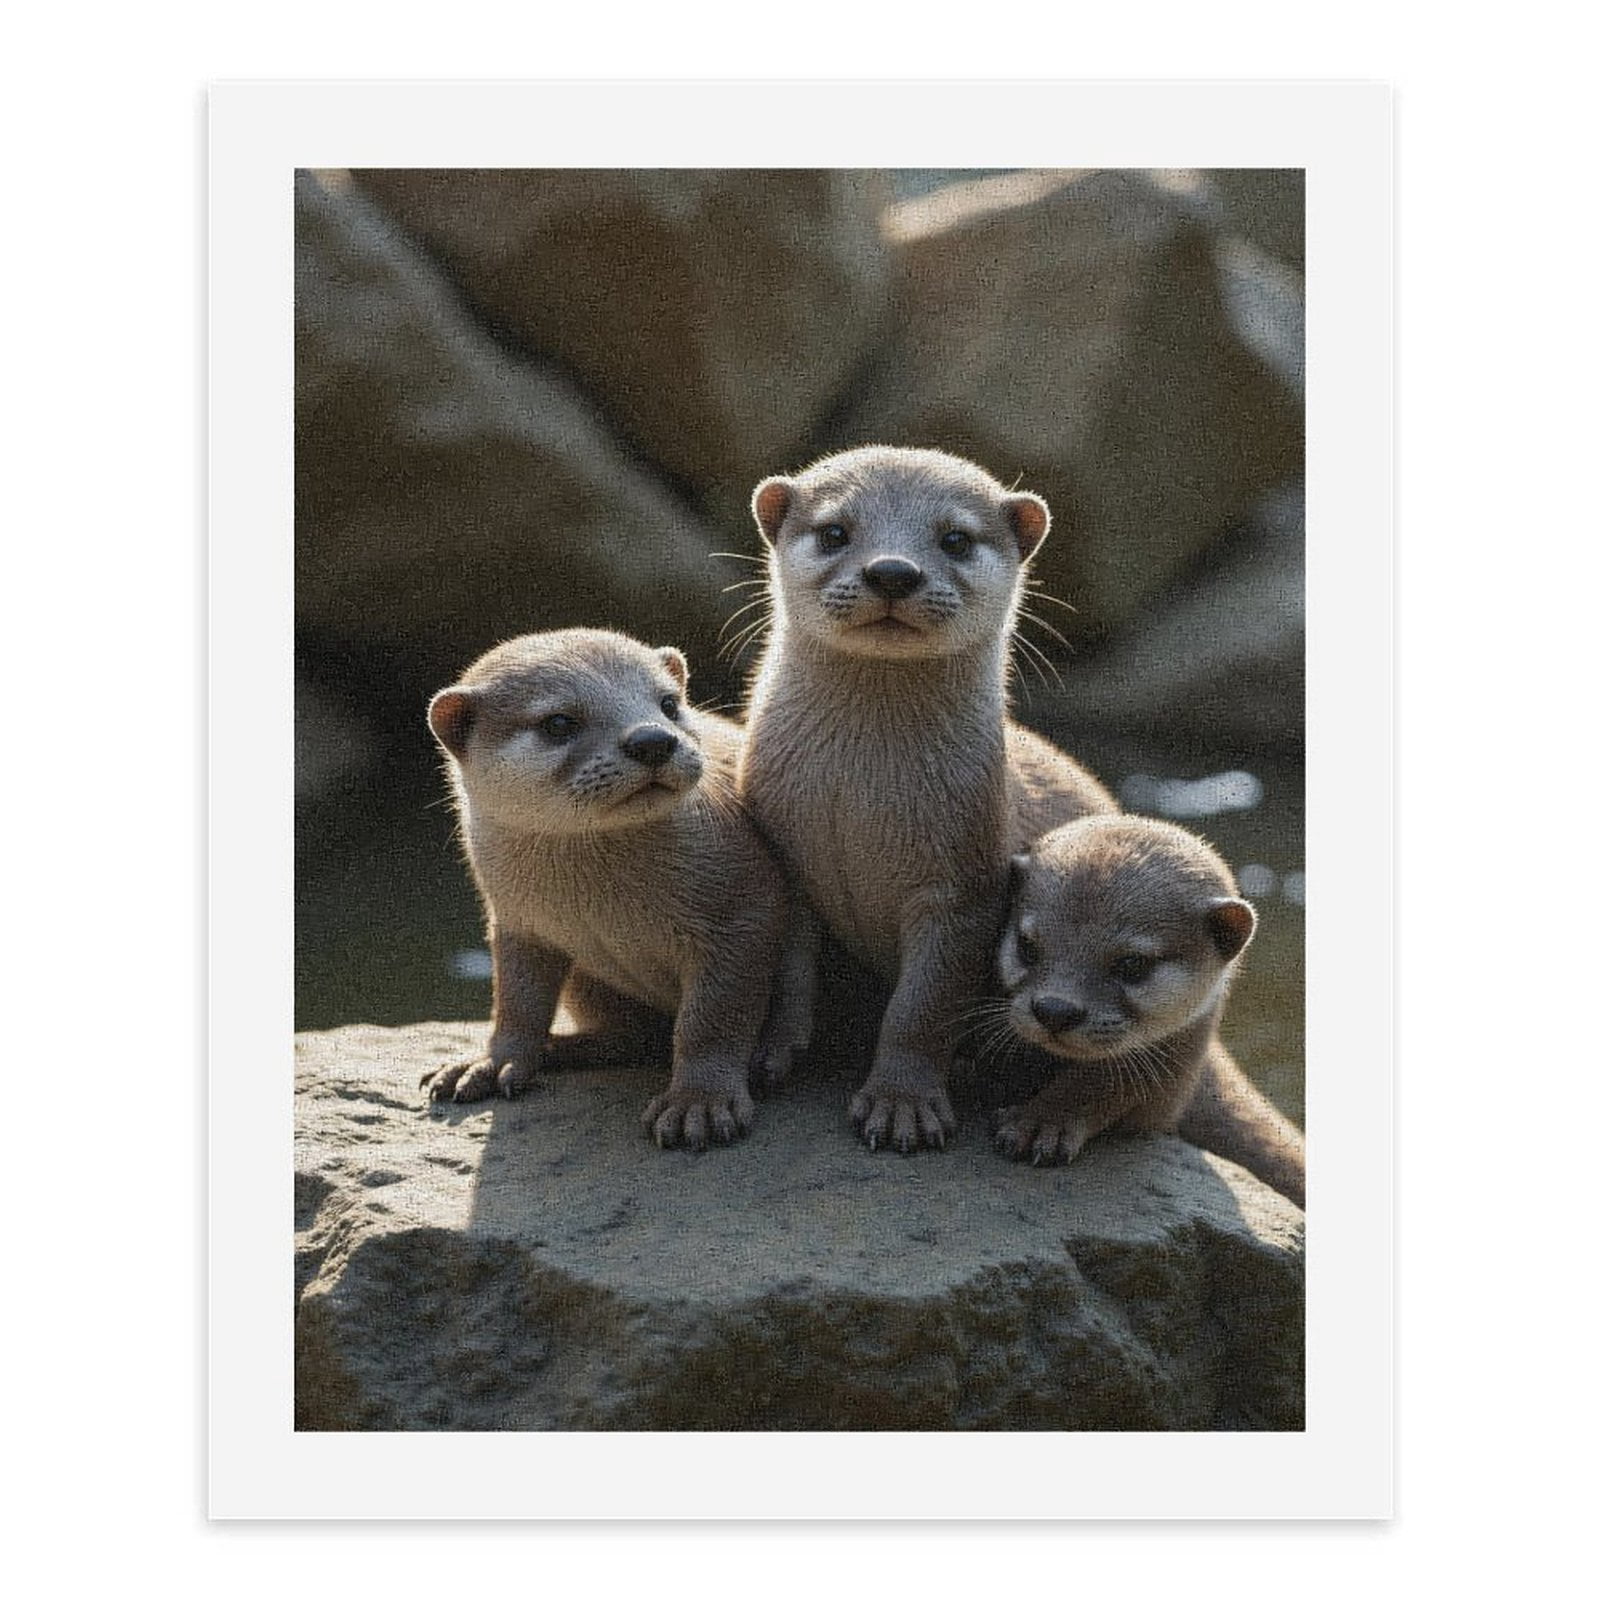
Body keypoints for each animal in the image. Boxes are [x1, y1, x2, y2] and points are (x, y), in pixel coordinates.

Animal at [422, 628, 812, 1150]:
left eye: (668, 703)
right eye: (558, 722)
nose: (652, 739)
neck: (602, 903)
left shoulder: (743, 908)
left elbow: (714, 1017)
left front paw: (699, 1102)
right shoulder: (515, 921)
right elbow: (516, 1000)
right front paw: (491, 1063)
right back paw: (564, 1049)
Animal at [738, 445, 1116, 1154]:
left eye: (956, 539)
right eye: (835, 532)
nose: (892, 570)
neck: (858, 799)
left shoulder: (965, 885)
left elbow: (923, 1007)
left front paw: (901, 1103)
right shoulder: (785, 857)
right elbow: (788, 978)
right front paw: (769, 1054)